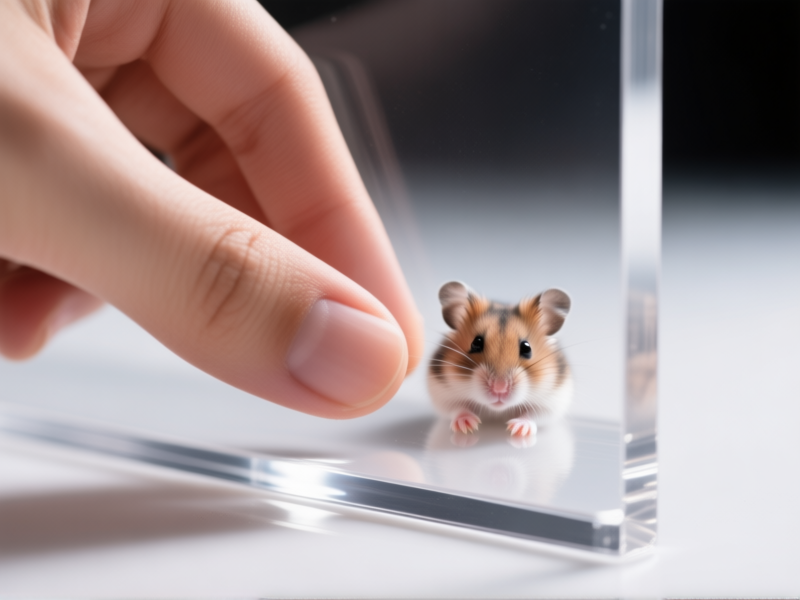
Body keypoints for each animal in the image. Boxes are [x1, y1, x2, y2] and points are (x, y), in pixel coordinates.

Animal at [427, 281, 573, 438]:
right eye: (476, 343)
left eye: (526, 348)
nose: (499, 389)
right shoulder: (443, 393)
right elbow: (457, 408)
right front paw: (467, 426)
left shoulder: (552, 400)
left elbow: (533, 415)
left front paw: (518, 429)